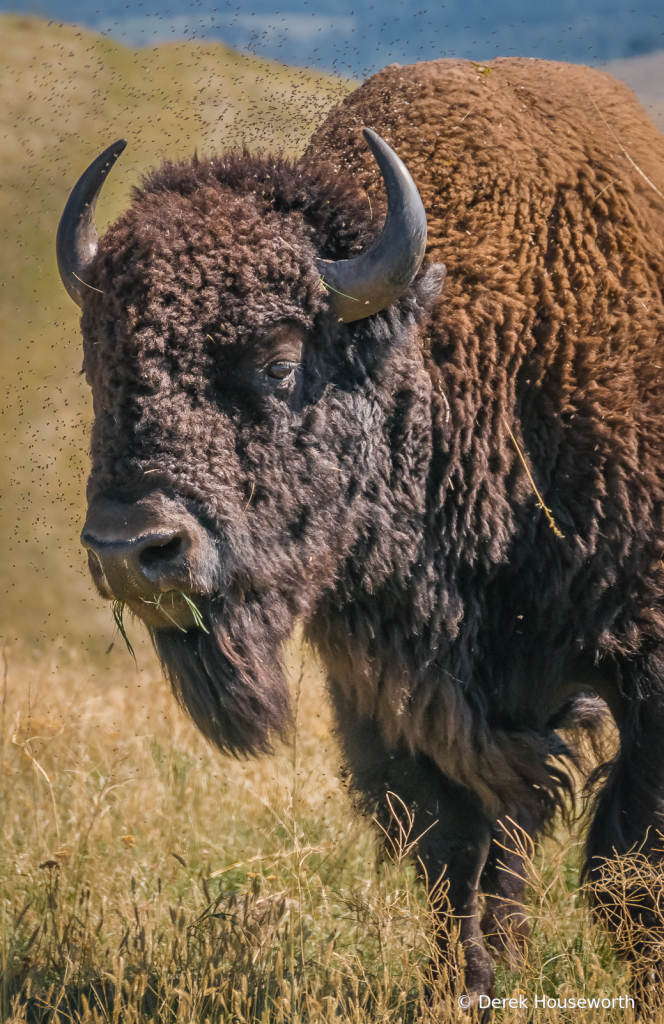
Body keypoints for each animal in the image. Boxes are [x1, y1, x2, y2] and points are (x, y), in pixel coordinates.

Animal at [55, 59, 664, 1003]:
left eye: (278, 362)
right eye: (100, 362)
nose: (130, 551)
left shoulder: (647, 665)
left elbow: (625, 864)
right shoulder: (391, 691)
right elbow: (448, 845)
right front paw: (467, 988)